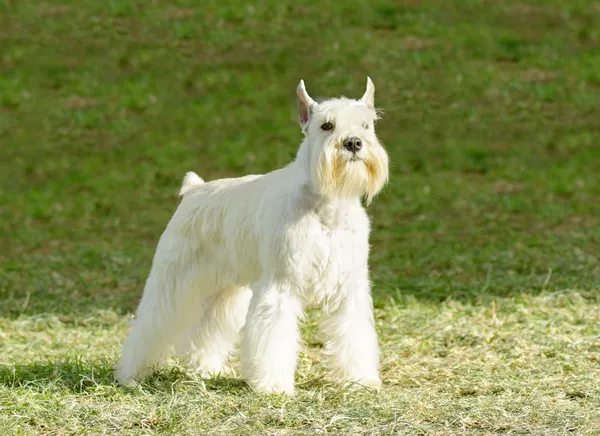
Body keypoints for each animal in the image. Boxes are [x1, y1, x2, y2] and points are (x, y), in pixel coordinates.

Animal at [116, 78, 390, 396]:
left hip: (223, 293)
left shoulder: (348, 288)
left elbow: (354, 335)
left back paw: (206, 368)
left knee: (205, 332)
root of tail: (193, 190)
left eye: (366, 125)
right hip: (172, 284)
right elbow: (274, 338)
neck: (327, 203)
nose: (354, 143)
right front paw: (274, 385)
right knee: (151, 325)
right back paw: (132, 374)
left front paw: (360, 379)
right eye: (327, 125)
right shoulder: (281, 286)